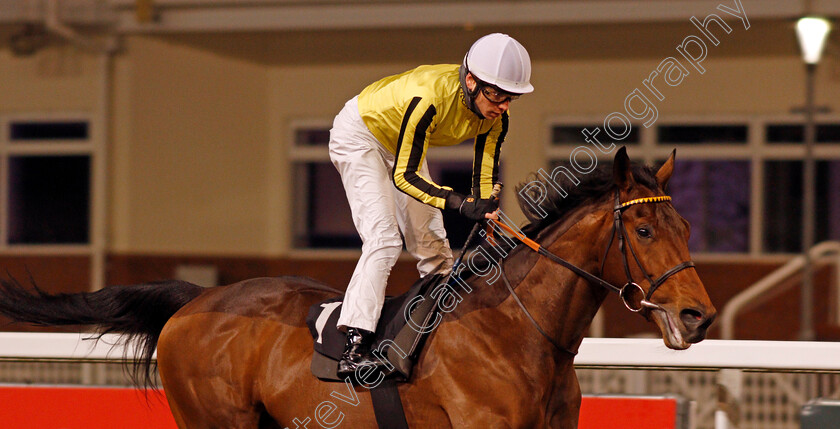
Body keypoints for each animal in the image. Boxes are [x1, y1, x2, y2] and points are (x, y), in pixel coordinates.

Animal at [0, 148, 716, 428]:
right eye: (644, 229)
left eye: (686, 226)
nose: (699, 315)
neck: (520, 331)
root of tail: (195, 301)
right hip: (215, 418)